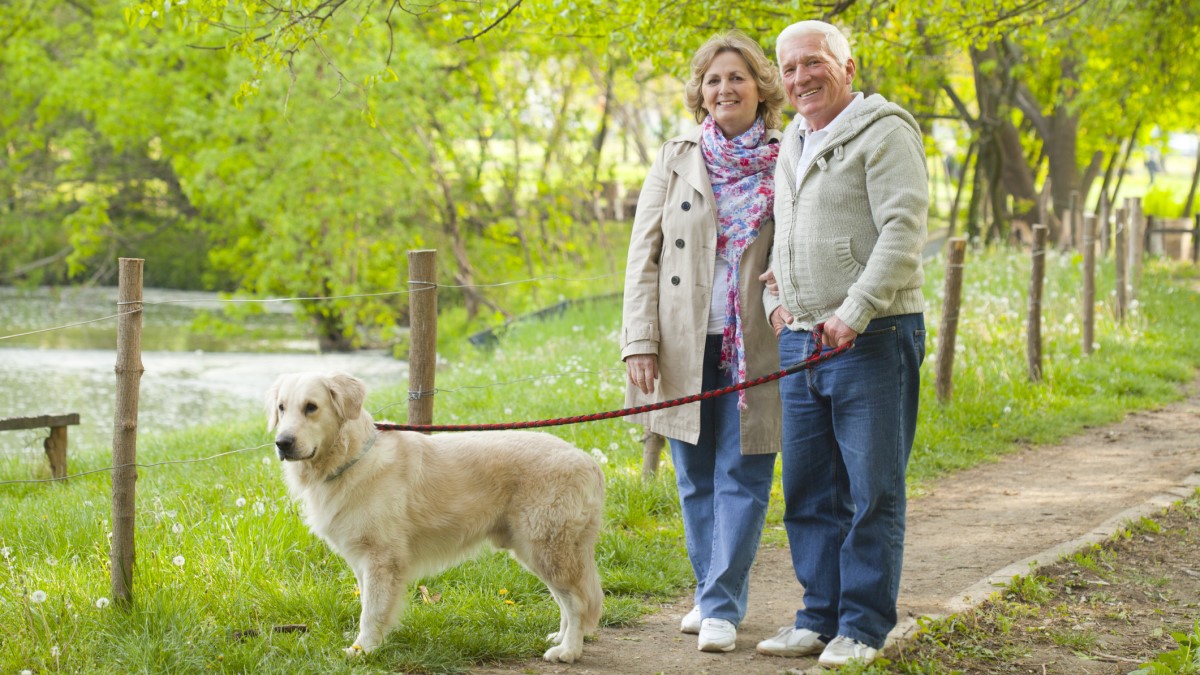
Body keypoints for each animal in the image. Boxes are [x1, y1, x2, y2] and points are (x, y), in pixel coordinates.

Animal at [272, 369, 609, 658]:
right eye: (281, 408)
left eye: (311, 407)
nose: (282, 443)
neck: (350, 458)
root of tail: (589, 462)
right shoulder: (363, 560)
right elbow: (368, 604)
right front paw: (367, 645)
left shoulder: (382, 559)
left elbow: (372, 611)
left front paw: (362, 650)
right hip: (539, 552)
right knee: (566, 601)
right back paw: (559, 637)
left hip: (547, 549)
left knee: (577, 603)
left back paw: (568, 651)